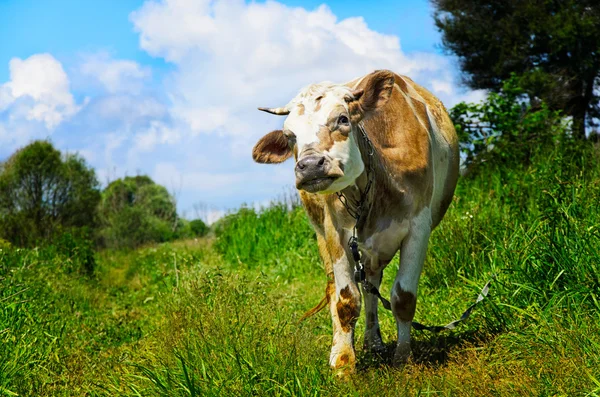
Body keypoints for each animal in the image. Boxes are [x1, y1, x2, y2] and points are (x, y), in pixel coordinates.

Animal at [251, 70, 458, 372]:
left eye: (342, 119)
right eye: (290, 136)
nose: (310, 166)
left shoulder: (419, 227)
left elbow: (403, 298)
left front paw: (403, 358)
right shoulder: (335, 231)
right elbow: (346, 299)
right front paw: (344, 363)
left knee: (372, 287)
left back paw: (374, 342)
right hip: (322, 235)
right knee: (336, 290)